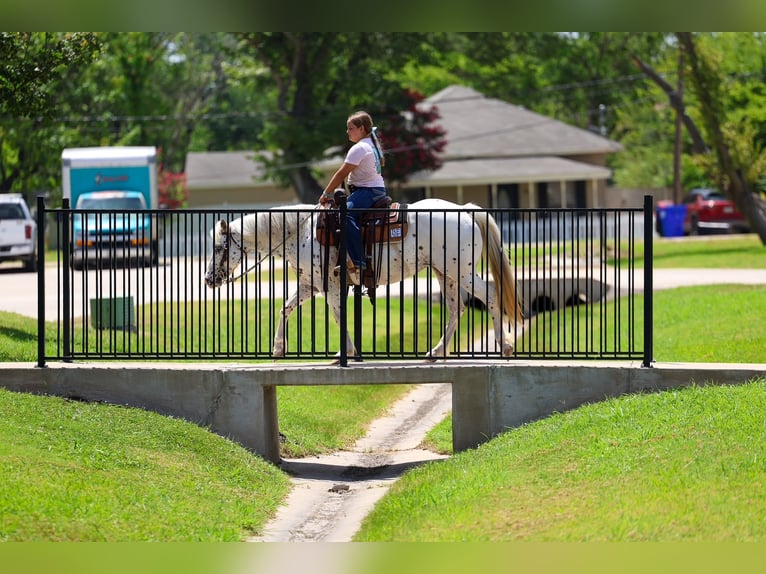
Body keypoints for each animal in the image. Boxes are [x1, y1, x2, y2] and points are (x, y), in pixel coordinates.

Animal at [204, 199, 523, 361]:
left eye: (219, 247)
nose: (208, 280)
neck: (301, 230)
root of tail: (466, 210)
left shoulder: (331, 285)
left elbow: (338, 316)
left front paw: (345, 352)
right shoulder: (310, 284)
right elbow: (285, 308)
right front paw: (279, 348)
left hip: (462, 272)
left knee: (491, 295)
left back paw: (505, 346)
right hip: (446, 274)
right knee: (457, 309)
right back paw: (436, 351)